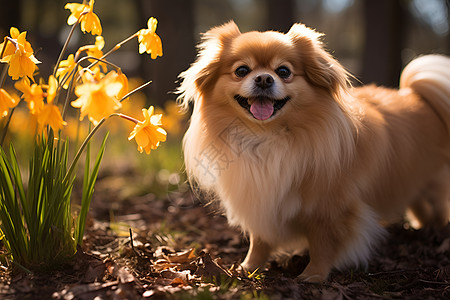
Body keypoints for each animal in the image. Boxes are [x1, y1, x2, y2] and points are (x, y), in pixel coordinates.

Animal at [177, 21, 450, 282]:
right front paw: (248, 268)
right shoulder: (261, 198)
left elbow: (323, 245)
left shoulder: (328, 210)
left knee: (437, 207)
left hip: (432, 183)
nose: (264, 79)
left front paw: (314, 275)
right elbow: (259, 240)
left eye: (284, 72)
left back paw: (436, 233)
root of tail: (416, 95)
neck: (265, 137)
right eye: (241, 70)